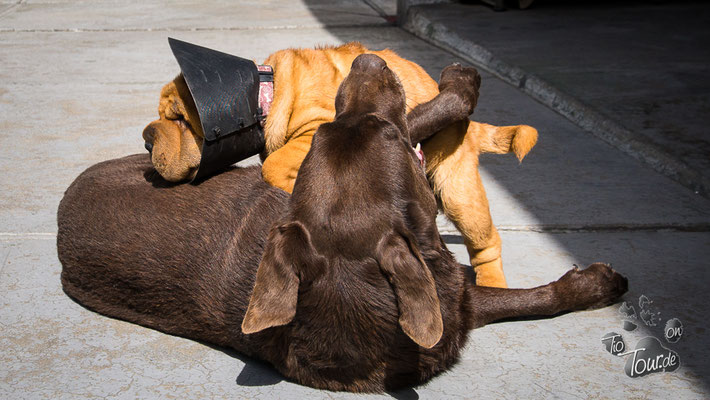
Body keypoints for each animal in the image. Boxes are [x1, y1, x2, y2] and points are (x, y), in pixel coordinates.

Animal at [142, 42, 536, 288]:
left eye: (180, 119)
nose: (146, 138)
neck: (266, 95)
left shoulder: (318, 126)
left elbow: (277, 163)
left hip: (458, 187)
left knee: (486, 243)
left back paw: (494, 285)